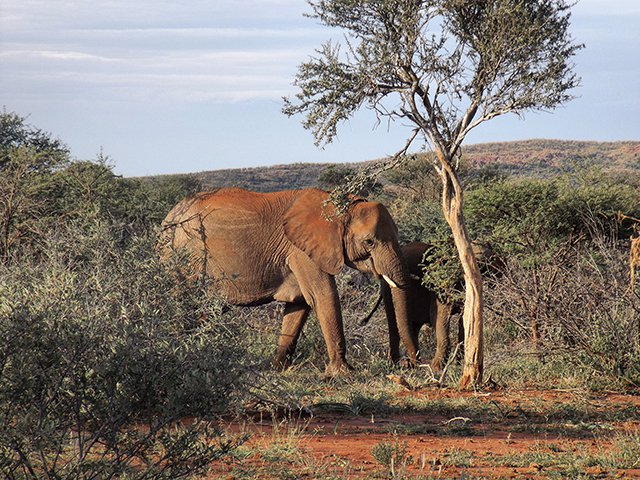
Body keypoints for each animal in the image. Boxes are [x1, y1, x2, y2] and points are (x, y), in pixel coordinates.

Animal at [160, 188, 418, 376]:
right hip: (186, 256)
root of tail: (167, 218)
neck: (340, 206)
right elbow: (323, 296)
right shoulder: (302, 251)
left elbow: (299, 304)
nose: (403, 364)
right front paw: (343, 373)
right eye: (369, 242)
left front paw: (278, 370)